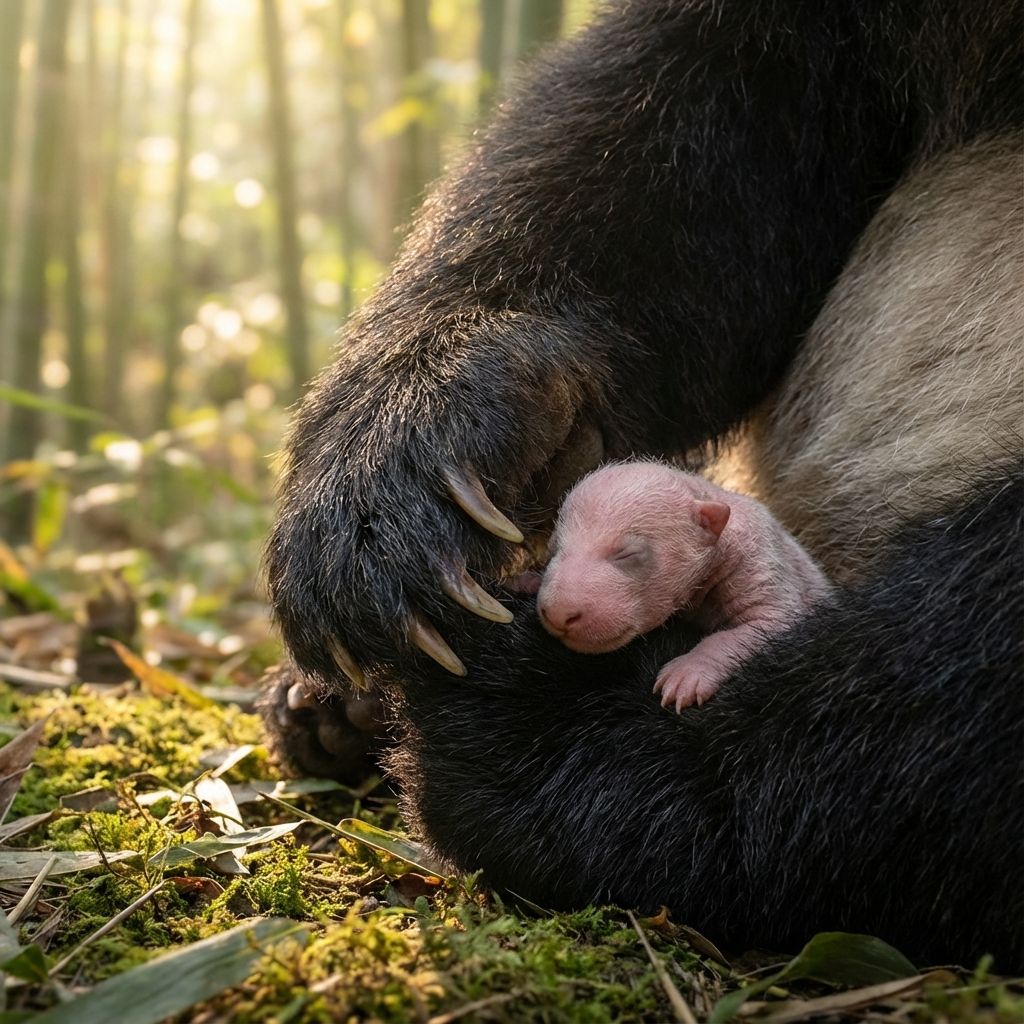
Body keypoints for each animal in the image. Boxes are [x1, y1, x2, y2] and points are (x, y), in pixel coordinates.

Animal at [262, 0, 1024, 967]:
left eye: (633, 555)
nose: (559, 612)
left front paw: (556, 729)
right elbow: (688, 131)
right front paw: (401, 488)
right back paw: (330, 703)